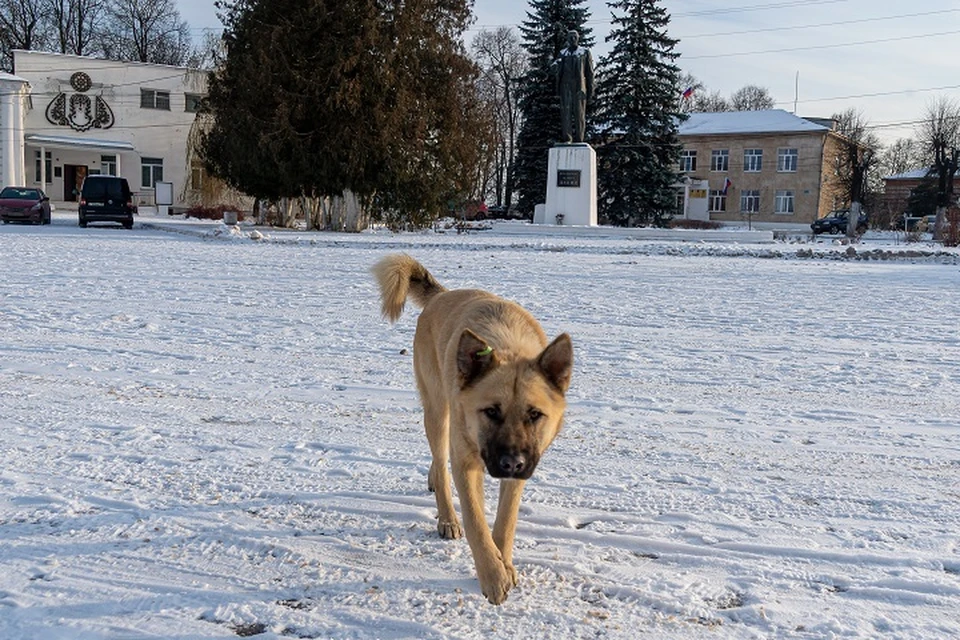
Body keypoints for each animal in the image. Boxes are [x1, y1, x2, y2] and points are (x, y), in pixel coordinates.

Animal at [374, 252, 568, 604]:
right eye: (490, 411)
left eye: (535, 415)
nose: (511, 463)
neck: (508, 347)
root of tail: (442, 295)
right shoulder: (466, 461)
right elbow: (477, 523)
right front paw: (492, 576)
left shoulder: (521, 468)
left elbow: (505, 521)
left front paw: (504, 563)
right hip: (438, 412)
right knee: (441, 463)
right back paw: (447, 517)